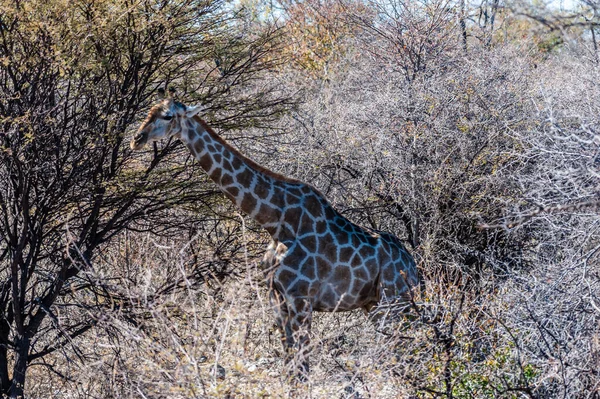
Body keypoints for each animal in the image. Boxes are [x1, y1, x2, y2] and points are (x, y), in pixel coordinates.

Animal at [131, 93, 420, 378]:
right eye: (149, 111)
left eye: (168, 116)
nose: (137, 138)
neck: (275, 222)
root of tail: (413, 266)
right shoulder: (276, 298)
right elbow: (289, 364)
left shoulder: (301, 298)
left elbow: (302, 368)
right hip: (374, 304)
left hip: (394, 301)